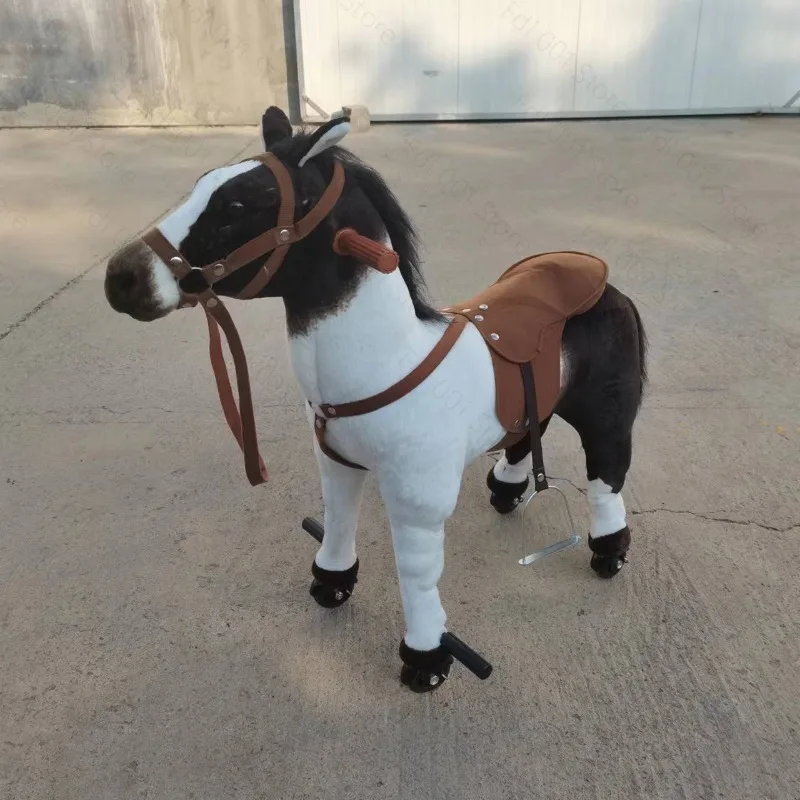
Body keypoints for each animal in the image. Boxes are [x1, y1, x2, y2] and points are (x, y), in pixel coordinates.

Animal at [104, 106, 647, 692]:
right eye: (202, 183)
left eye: (238, 206)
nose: (120, 277)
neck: (389, 363)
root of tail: (602, 278)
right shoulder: (337, 462)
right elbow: (338, 520)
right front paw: (331, 584)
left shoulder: (418, 501)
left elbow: (417, 572)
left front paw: (426, 661)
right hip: (536, 397)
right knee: (530, 428)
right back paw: (506, 489)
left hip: (607, 415)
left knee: (606, 478)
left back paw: (609, 552)